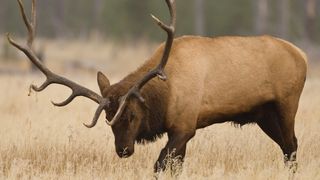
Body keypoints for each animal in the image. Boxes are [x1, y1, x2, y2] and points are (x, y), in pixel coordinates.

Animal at [8, 0, 308, 174]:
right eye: (108, 118)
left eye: (131, 115)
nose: (123, 150)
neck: (164, 95)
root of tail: (303, 54)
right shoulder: (180, 131)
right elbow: (174, 167)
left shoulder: (185, 126)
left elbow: (160, 165)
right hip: (264, 115)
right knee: (286, 149)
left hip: (287, 104)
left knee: (292, 146)